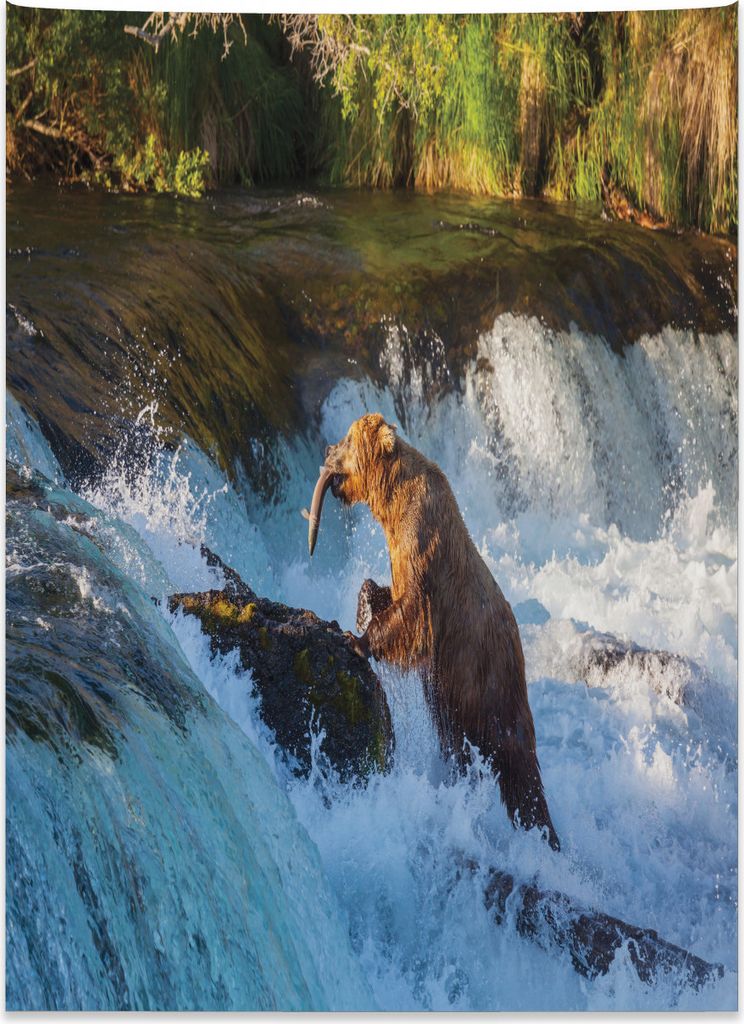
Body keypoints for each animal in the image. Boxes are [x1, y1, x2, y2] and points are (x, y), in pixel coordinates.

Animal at [307, 412, 559, 850]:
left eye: (346, 440)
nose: (326, 449)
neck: (392, 505)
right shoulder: (399, 558)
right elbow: (383, 592)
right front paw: (362, 608)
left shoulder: (425, 553)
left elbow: (411, 616)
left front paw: (356, 640)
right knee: (459, 745)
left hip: (488, 679)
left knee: (516, 763)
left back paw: (542, 832)